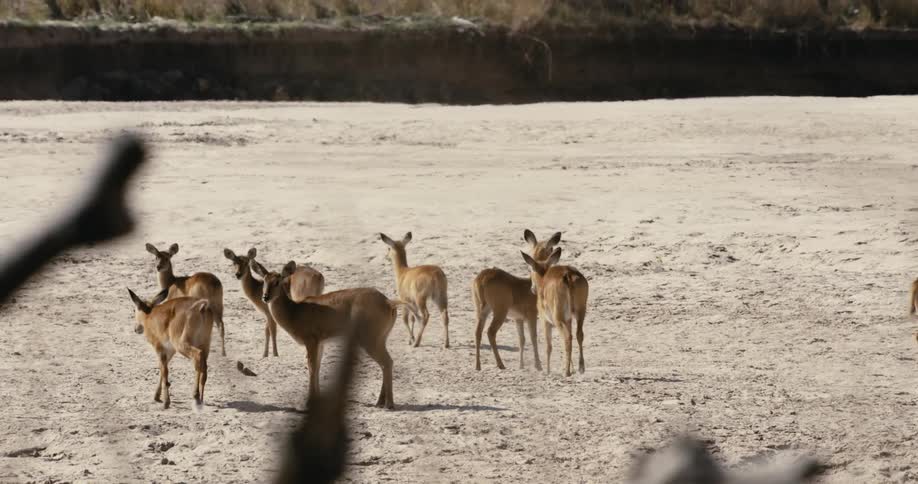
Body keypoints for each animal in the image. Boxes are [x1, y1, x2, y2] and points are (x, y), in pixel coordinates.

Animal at [250, 260, 400, 409]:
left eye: (277, 281)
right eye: (264, 281)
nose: (265, 297)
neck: (294, 313)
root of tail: (389, 303)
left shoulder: (311, 339)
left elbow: (311, 367)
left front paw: (309, 401)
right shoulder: (321, 342)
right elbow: (317, 367)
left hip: (370, 338)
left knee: (387, 362)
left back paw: (389, 404)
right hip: (381, 337)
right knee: (386, 363)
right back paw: (379, 402)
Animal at [521, 247, 589, 376]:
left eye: (530, 269)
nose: (532, 288)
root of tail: (568, 275)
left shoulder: (545, 321)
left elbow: (548, 346)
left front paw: (547, 371)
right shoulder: (568, 319)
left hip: (558, 319)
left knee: (567, 337)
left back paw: (566, 372)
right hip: (580, 312)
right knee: (578, 334)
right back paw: (581, 368)